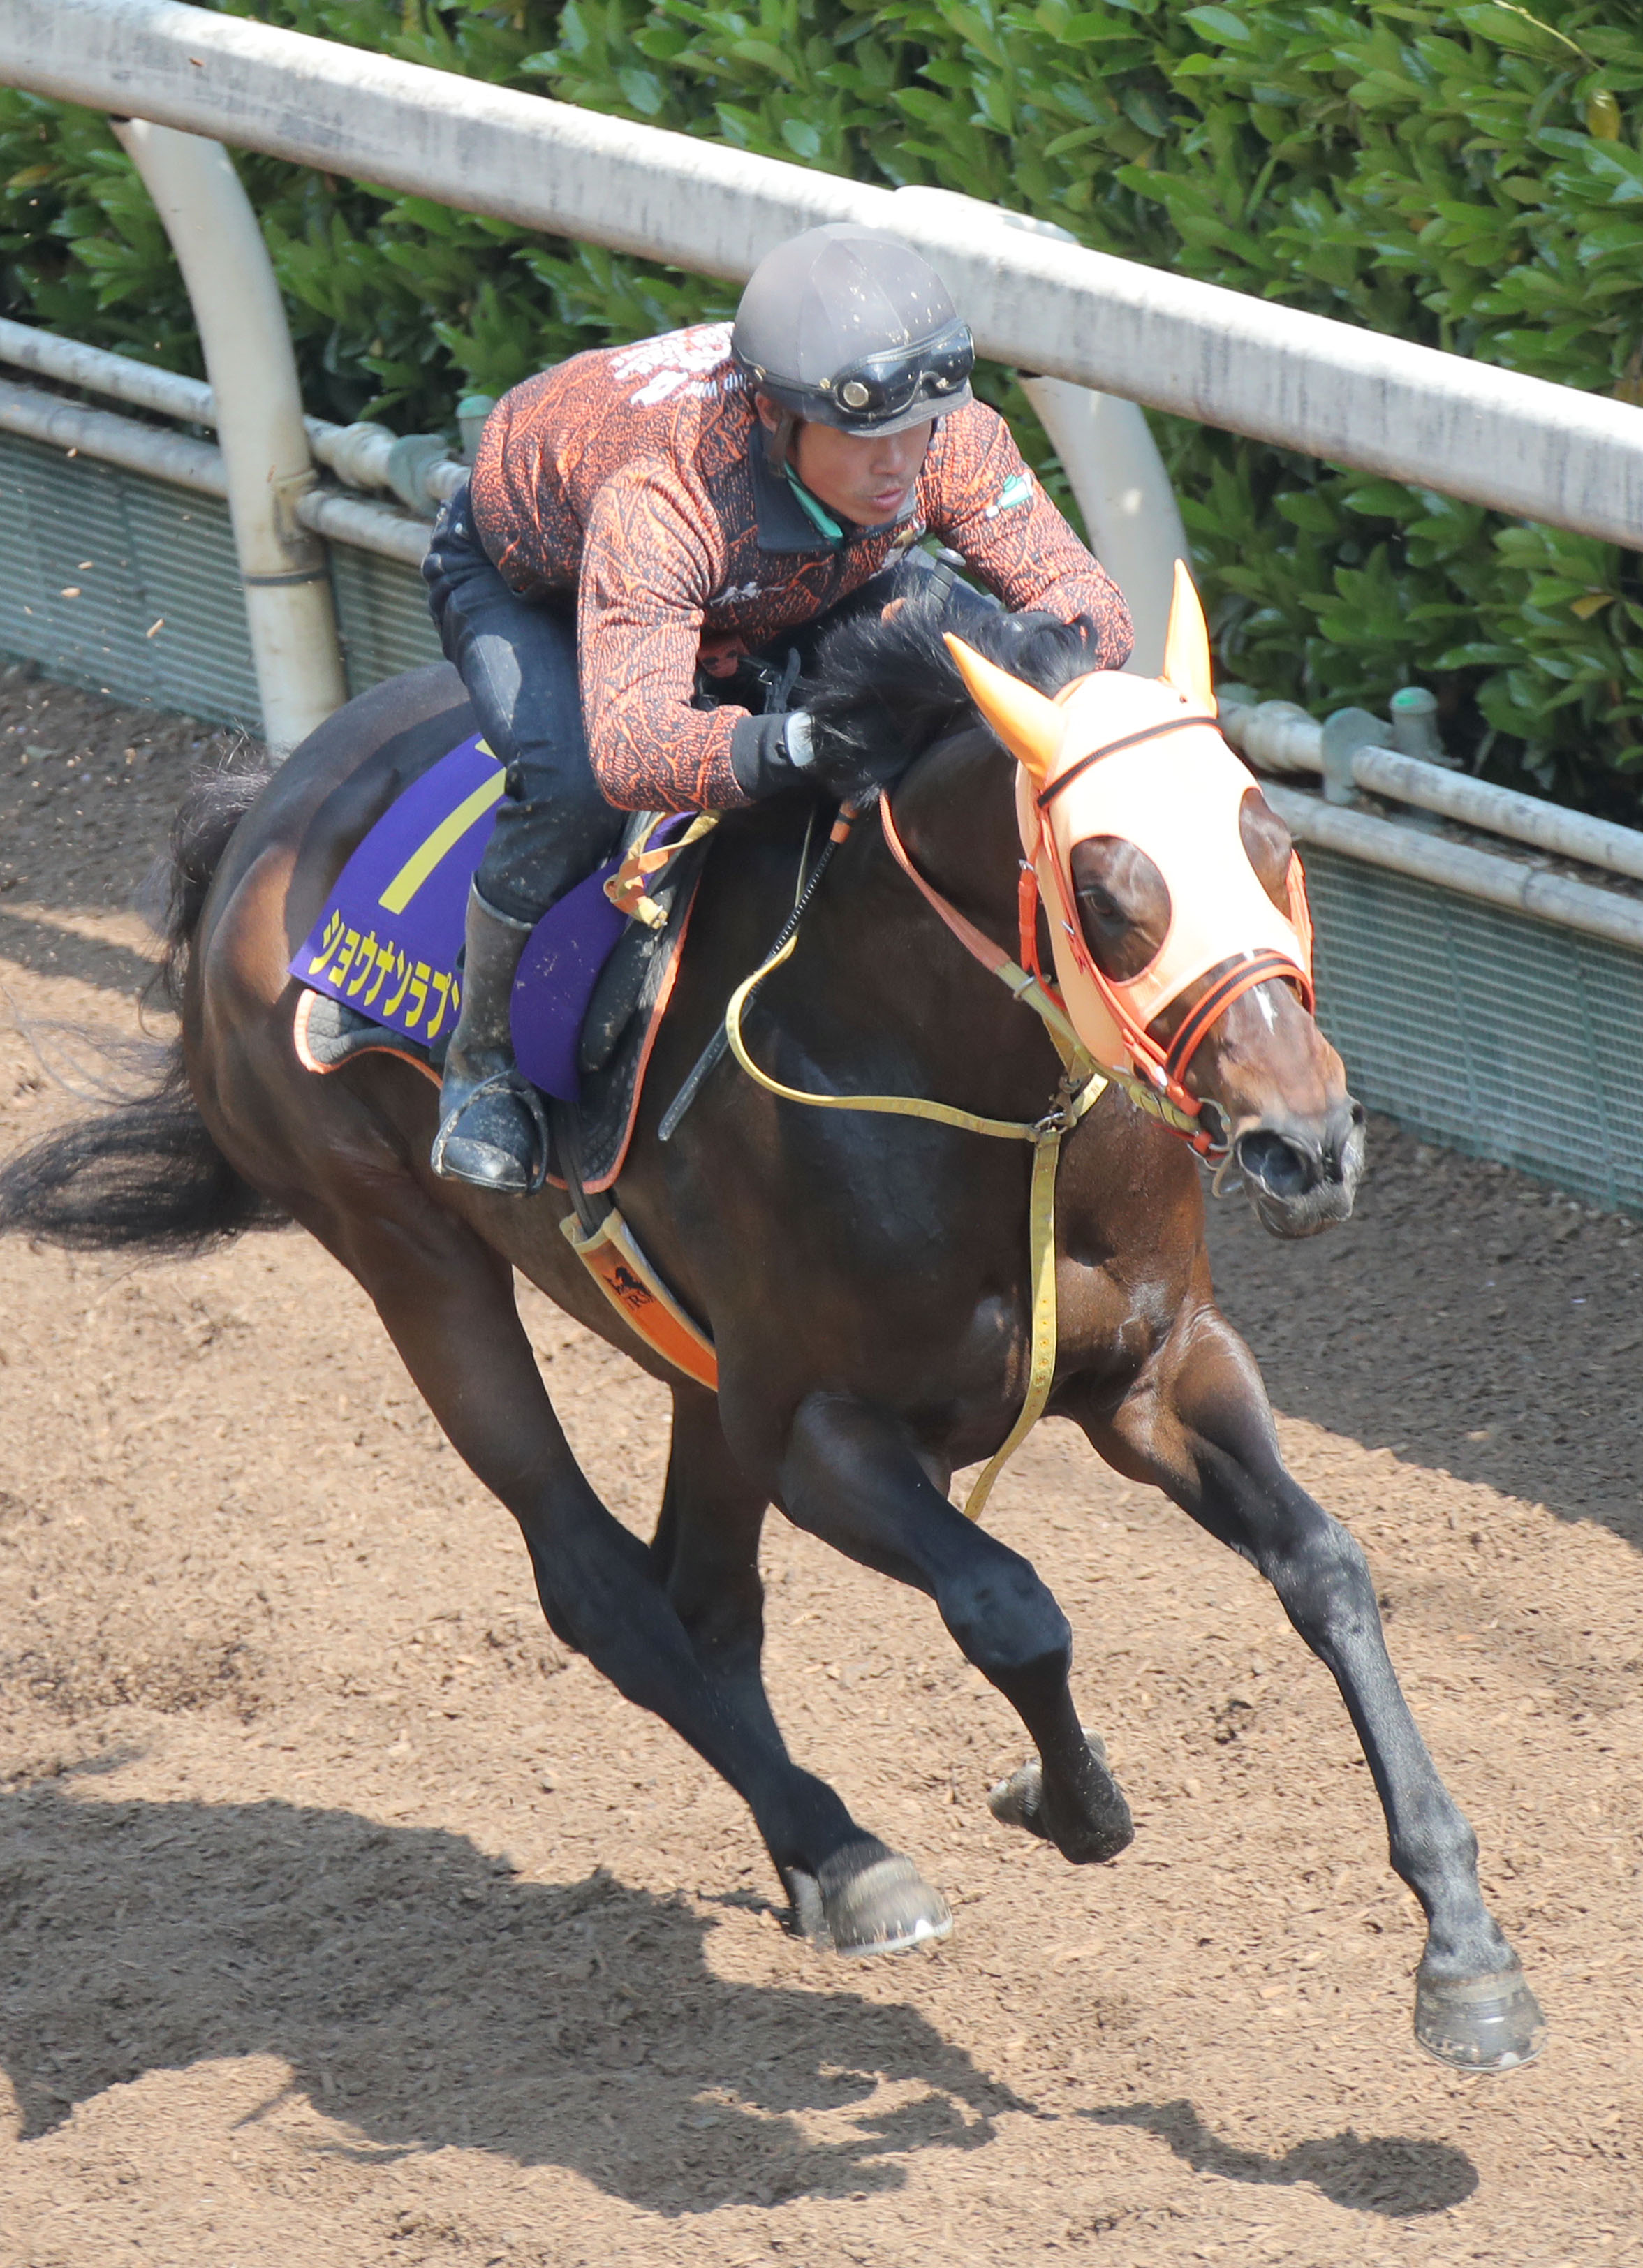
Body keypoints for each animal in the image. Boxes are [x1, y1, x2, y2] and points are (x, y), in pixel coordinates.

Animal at [0, 571, 1543, 2073]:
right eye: (1109, 891)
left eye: (1269, 838)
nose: (1306, 1142)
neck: (946, 1077)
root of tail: (261, 815)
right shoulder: (819, 1430)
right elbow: (1011, 1606)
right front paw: (1065, 1799)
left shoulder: (1159, 1367)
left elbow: (1323, 1565)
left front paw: (1464, 1953)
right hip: (408, 1252)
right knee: (598, 1583)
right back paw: (846, 1854)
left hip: (691, 1369)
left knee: (701, 1596)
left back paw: (809, 1856)